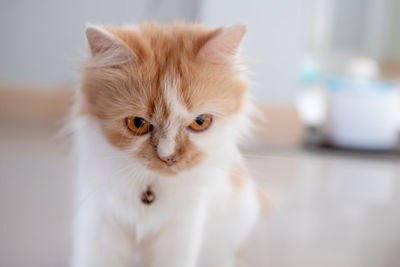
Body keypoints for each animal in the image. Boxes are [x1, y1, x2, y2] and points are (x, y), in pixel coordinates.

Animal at [70, 23, 268, 267]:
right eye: (137, 124)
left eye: (200, 122)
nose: (168, 157)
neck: (149, 190)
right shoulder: (102, 223)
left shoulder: (179, 232)